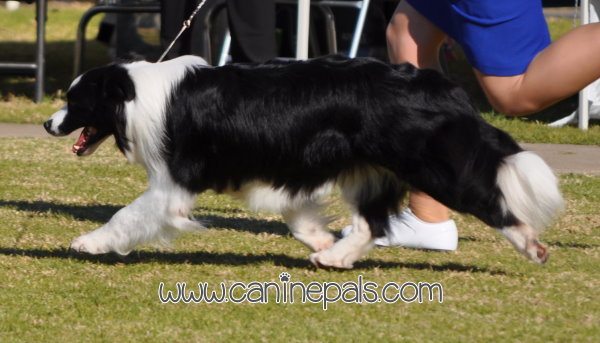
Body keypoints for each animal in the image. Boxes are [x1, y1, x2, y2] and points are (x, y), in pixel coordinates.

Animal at [44, 55, 564, 268]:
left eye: (75, 100)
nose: (49, 124)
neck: (135, 94)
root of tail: (443, 86)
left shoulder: (173, 184)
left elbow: (127, 215)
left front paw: (88, 243)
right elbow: (296, 215)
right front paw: (319, 238)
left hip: (433, 167)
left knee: (489, 200)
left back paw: (533, 248)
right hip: (373, 171)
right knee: (372, 223)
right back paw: (334, 256)